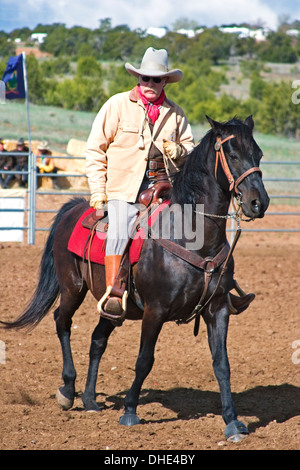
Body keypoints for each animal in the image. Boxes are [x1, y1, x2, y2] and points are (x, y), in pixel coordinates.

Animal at [1, 115, 270, 442]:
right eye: (232, 154)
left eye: (258, 155)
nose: (259, 203)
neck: (192, 237)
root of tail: (74, 207)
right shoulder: (155, 311)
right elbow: (144, 361)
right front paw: (129, 410)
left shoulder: (217, 310)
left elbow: (222, 364)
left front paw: (232, 421)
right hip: (72, 288)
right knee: (62, 322)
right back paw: (67, 389)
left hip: (113, 305)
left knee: (97, 339)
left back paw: (90, 399)